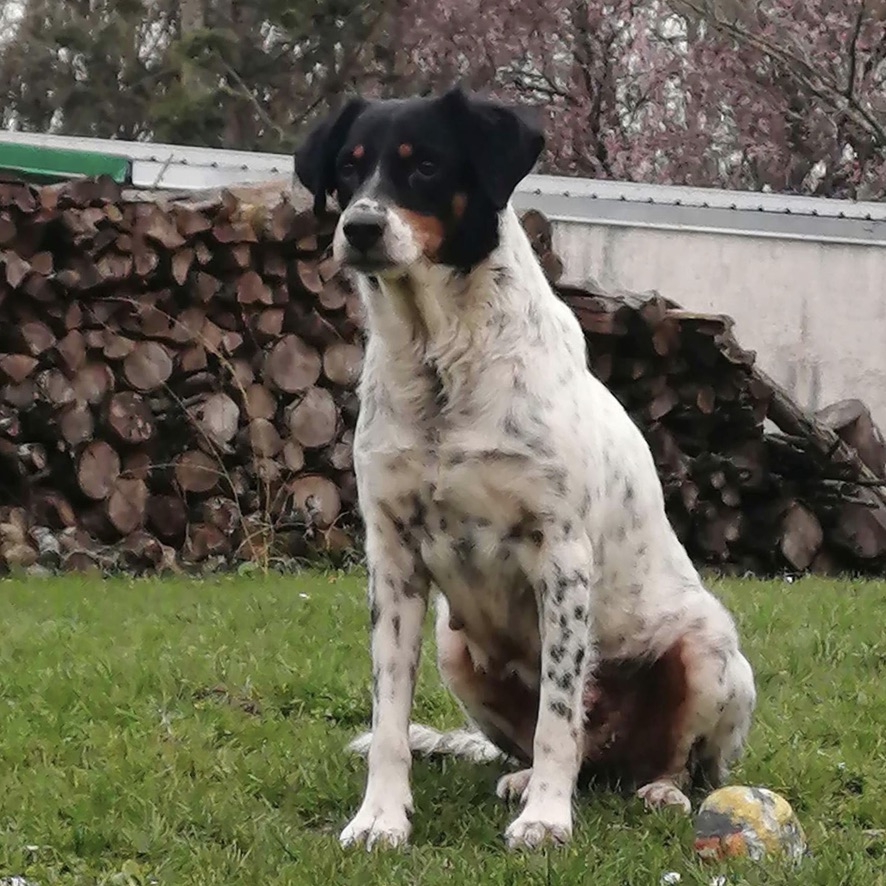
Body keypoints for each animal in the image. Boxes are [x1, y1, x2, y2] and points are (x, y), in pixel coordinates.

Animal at [296, 85, 756, 852]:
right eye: (349, 167)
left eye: (425, 165)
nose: (359, 228)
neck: (440, 361)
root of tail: (613, 758)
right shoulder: (391, 560)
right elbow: (389, 718)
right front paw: (380, 819)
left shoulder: (562, 558)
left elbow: (558, 717)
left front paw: (545, 819)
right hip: (455, 649)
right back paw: (521, 779)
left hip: (709, 649)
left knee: (673, 761)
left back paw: (654, 790)